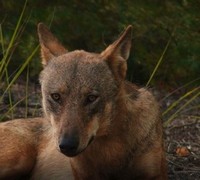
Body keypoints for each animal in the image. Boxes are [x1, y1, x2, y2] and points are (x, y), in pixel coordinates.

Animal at [0, 23, 166, 179]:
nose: (67, 145)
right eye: (56, 96)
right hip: (19, 160)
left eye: (91, 98)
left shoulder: (156, 175)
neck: (111, 151)